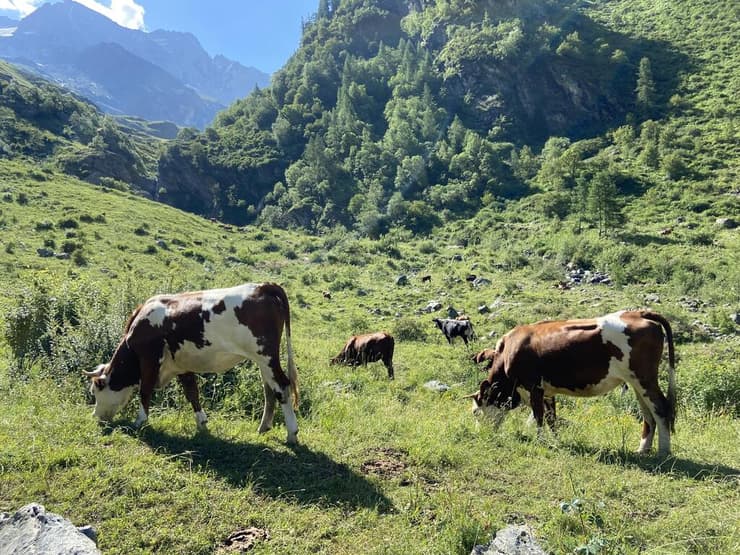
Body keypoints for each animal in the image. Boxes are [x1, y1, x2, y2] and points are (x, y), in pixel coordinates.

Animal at [88, 284, 302, 446]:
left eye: (96, 390)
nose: (95, 416)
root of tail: (263, 286)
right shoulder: (181, 364)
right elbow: (192, 393)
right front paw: (202, 423)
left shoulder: (149, 359)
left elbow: (145, 390)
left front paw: (140, 421)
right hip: (263, 361)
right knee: (269, 390)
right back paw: (263, 427)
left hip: (266, 357)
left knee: (282, 387)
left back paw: (291, 433)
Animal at [468, 308, 676, 456]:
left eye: (475, 412)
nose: (480, 434)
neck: (509, 353)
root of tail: (638, 313)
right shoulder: (547, 391)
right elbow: (551, 419)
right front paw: (555, 441)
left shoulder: (533, 387)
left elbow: (538, 416)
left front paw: (540, 440)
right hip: (636, 383)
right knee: (648, 414)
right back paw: (642, 450)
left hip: (644, 379)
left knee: (660, 409)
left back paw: (663, 451)